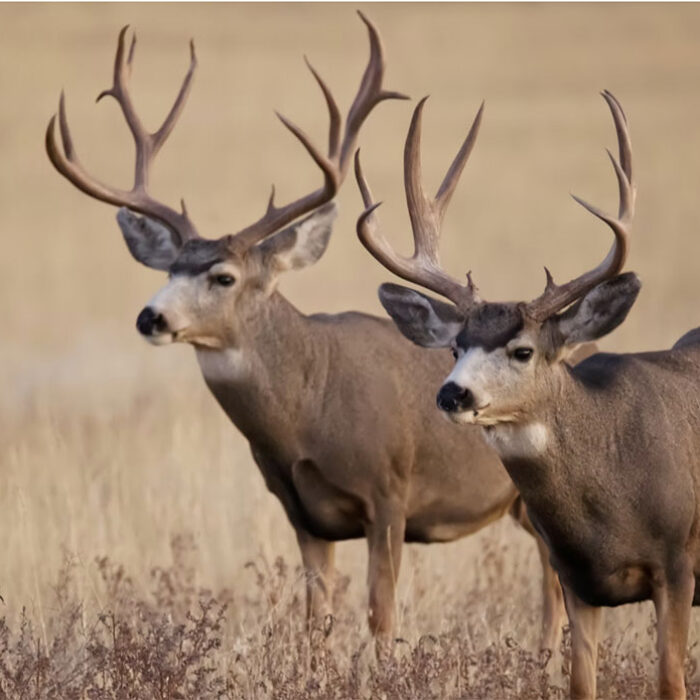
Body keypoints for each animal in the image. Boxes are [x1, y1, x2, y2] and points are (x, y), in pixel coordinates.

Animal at [45, 15, 568, 653]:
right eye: (168, 269)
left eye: (224, 276)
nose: (152, 317)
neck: (308, 408)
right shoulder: (302, 513)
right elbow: (314, 623)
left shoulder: (389, 494)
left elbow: (381, 618)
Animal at [356, 87, 700, 697]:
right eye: (455, 347)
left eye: (522, 351)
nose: (453, 395)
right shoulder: (576, 577)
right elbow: (581, 682)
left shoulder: (678, 562)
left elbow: (670, 682)